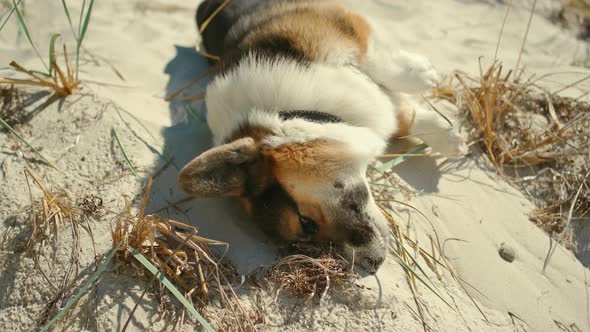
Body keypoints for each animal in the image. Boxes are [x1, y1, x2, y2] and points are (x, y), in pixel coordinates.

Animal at [178, 0, 470, 274]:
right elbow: (399, 114)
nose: (373, 265)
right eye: (308, 229)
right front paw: (446, 135)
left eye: (305, 220)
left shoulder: (335, 28)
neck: (292, 110)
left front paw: (422, 75)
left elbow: (380, 65)